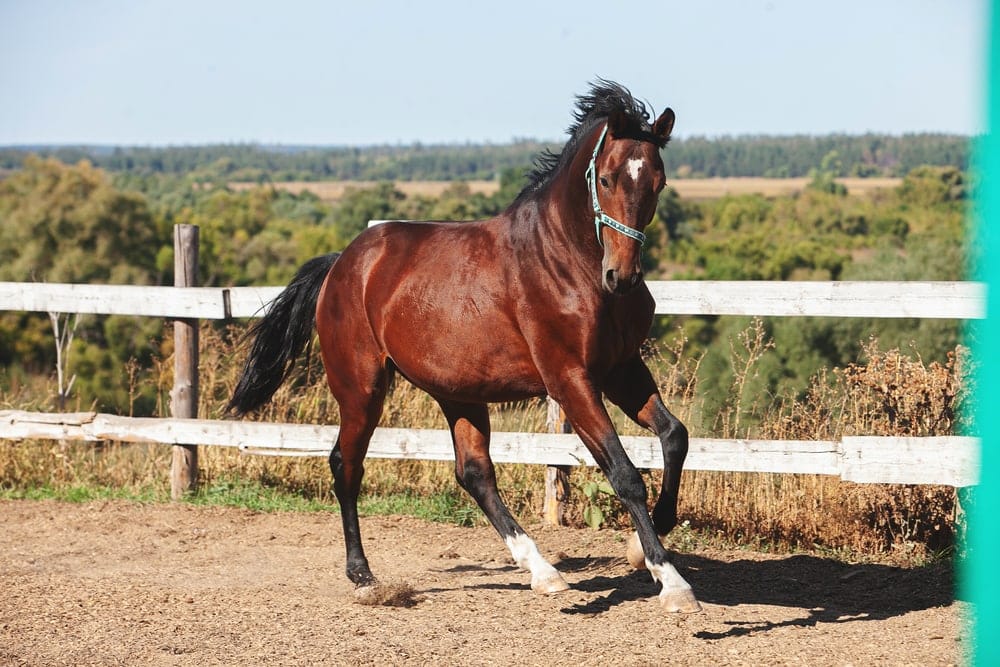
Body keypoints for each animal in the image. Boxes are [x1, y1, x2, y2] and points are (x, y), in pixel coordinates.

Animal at [227, 80, 700, 612]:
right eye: (605, 179)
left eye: (658, 182)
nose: (622, 276)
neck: (565, 261)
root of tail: (342, 263)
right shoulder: (570, 380)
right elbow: (624, 474)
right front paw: (672, 582)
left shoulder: (621, 369)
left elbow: (675, 435)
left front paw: (643, 546)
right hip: (362, 389)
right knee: (345, 465)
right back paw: (363, 575)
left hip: (458, 392)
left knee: (474, 473)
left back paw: (544, 572)